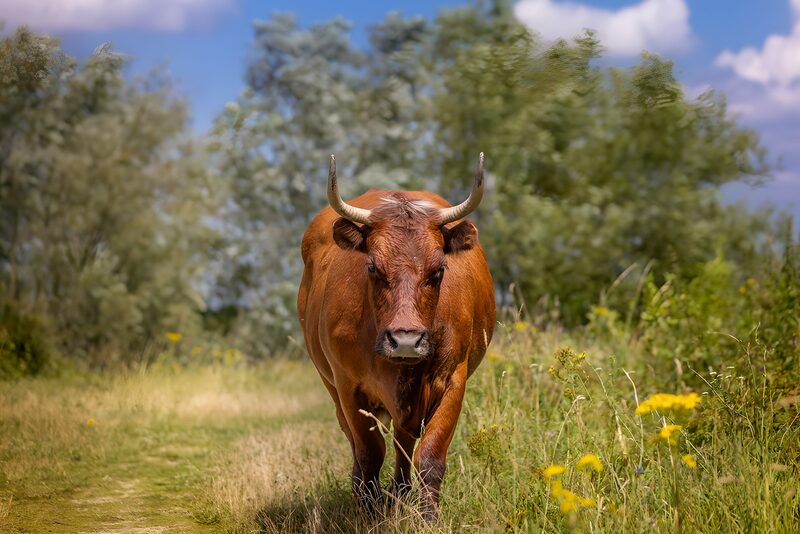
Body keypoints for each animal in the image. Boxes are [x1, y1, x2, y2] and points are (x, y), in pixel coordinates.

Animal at [296, 154, 495, 520]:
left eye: (439, 270)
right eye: (373, 267)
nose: (405, 340)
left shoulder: (453, 381)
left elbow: (430, 456)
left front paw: (428, 518)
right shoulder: (348, 387)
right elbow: (369, 453)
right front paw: (367, 511)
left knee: (404, 443)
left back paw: (401, 492)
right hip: (332, 387)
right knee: (358, 445)